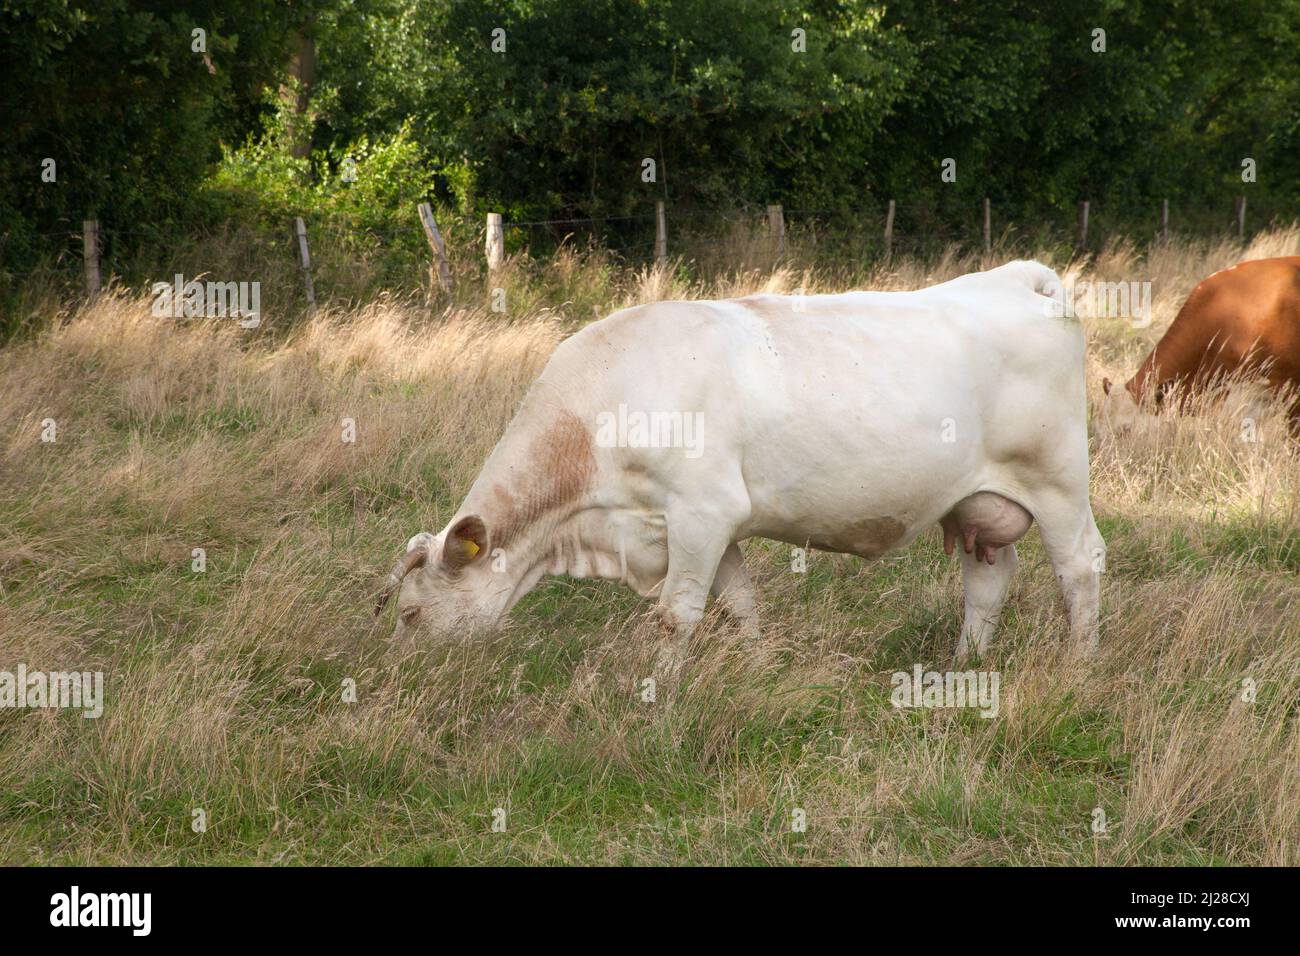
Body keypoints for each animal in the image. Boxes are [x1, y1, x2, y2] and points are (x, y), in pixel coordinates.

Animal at [375, 260, 1105, 668]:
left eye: (410, 615)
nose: (399, 675)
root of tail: (1018, 277)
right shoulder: (712, 524)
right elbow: (739, 605)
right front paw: (756, 665)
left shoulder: (701, 510)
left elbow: (676, 615)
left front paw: (657, 694)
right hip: (978, 500)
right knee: (989, 578)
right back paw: (965, 663)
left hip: (1059, 481)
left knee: (1079, 567)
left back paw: (1078, 666)